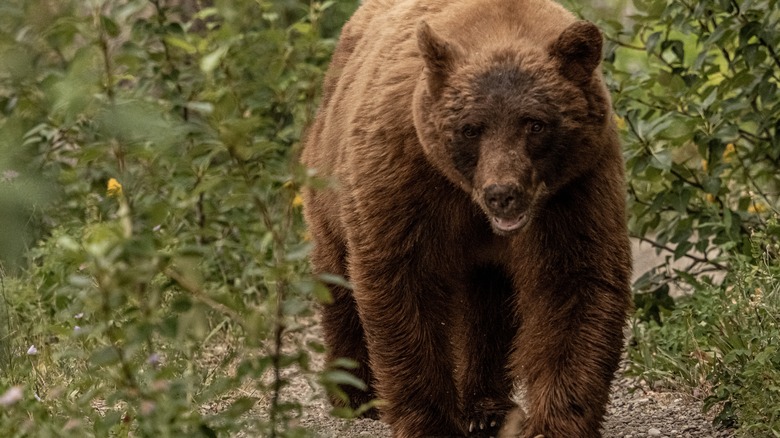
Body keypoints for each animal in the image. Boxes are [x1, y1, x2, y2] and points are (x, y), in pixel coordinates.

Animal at [298, 0, 632, 436]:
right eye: (471, 127)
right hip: (329, 176)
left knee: (486, 306)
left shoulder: (577, 186)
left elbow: (574, 283)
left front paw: (554, 421)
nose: (502, 193)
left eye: (536, 123)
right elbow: (404, 282)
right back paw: (353, 394)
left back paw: (485, 407)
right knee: (337, 277)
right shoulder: (406, 175)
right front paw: (430, 421)